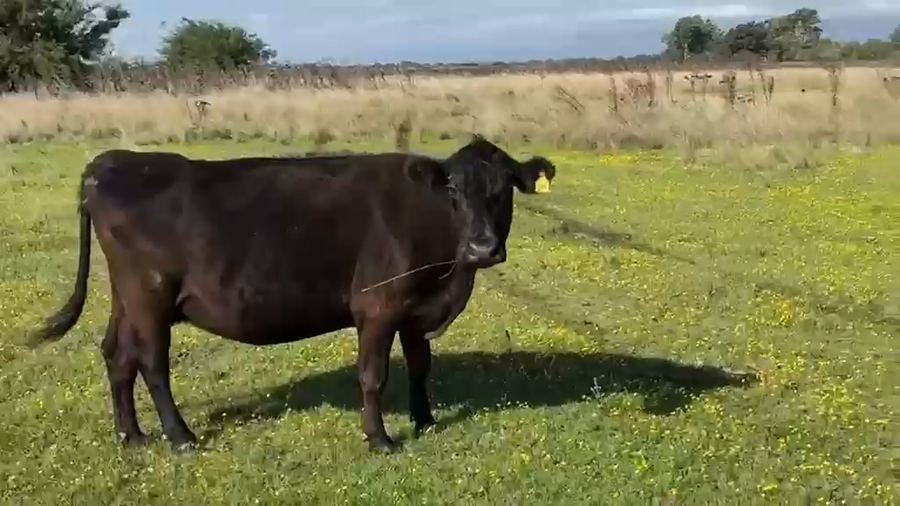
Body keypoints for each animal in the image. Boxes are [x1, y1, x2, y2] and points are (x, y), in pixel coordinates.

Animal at [28, 135, 557, 453]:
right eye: (453, 192)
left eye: (505, 189)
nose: (483, 247)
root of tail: (111, 161)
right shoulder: (378, 306)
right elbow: (373, 376)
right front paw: (380, 439)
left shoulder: (415, 308)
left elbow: (420, 366)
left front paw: (424, 421)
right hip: (150, 295)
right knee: (152, 364)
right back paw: (180, 437)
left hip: (127, 296)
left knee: (117, 355)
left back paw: (132, 435)